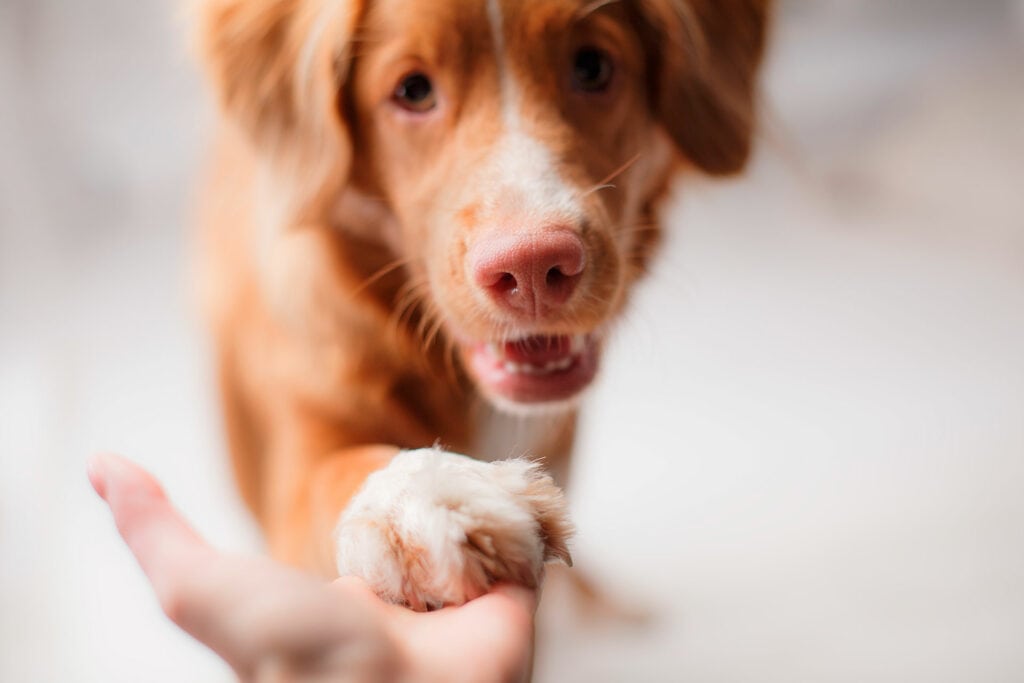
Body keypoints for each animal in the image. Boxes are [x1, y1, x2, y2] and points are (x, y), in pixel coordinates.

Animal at [193, 0, 770, 610]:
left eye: (592, 66)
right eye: (414, 90)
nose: (533, 266)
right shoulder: (299, 453)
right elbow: (334, 472)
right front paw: (428, 495)